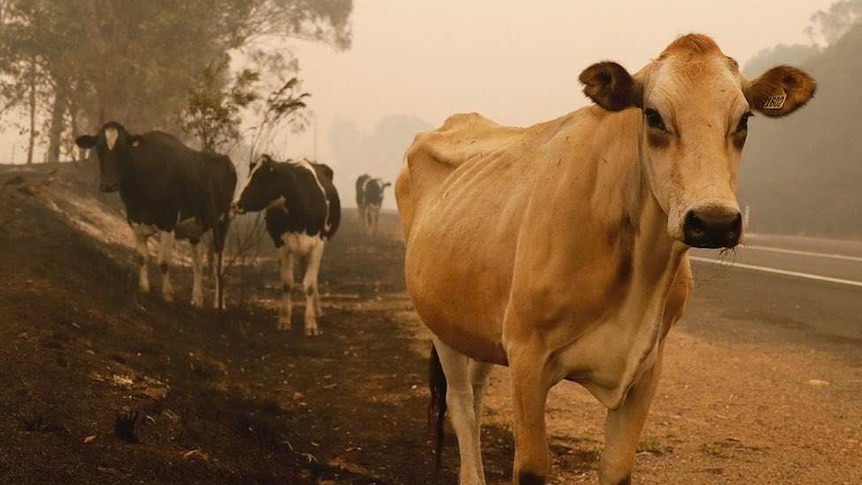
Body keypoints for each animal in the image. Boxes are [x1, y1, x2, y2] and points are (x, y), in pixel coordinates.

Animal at [73, 123, 236, 308]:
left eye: (123, 149)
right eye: (99, 149)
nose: (108, 185)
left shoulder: (168, 222)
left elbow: (163, 262)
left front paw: (168, 294)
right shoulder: (136, 223)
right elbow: (141, 257)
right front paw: (144, 287)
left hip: (223, 220)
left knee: (218, 263)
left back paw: (219, 304)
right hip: (195, 226)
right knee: (197, 263)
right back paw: (197, 299)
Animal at [231, 153, 342, 334]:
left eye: (260, 177)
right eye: (250, 173)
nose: (234, 204)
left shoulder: (318, 244)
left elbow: (309, 285)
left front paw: (311, 324)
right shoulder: (281, 244)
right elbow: (287, 283)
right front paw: (284, 320)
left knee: (313, 278)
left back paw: (317, 309)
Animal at [398, 34, 816, 484]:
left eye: (744, 120)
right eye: (653, 115)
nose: (714, 221)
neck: (642, 277)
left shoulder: (647, 368)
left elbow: (617, 467)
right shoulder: (527, 355)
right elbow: (531, 468)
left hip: (476, 323)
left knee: (475, 397)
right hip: (441, 323)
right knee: (461, 408)